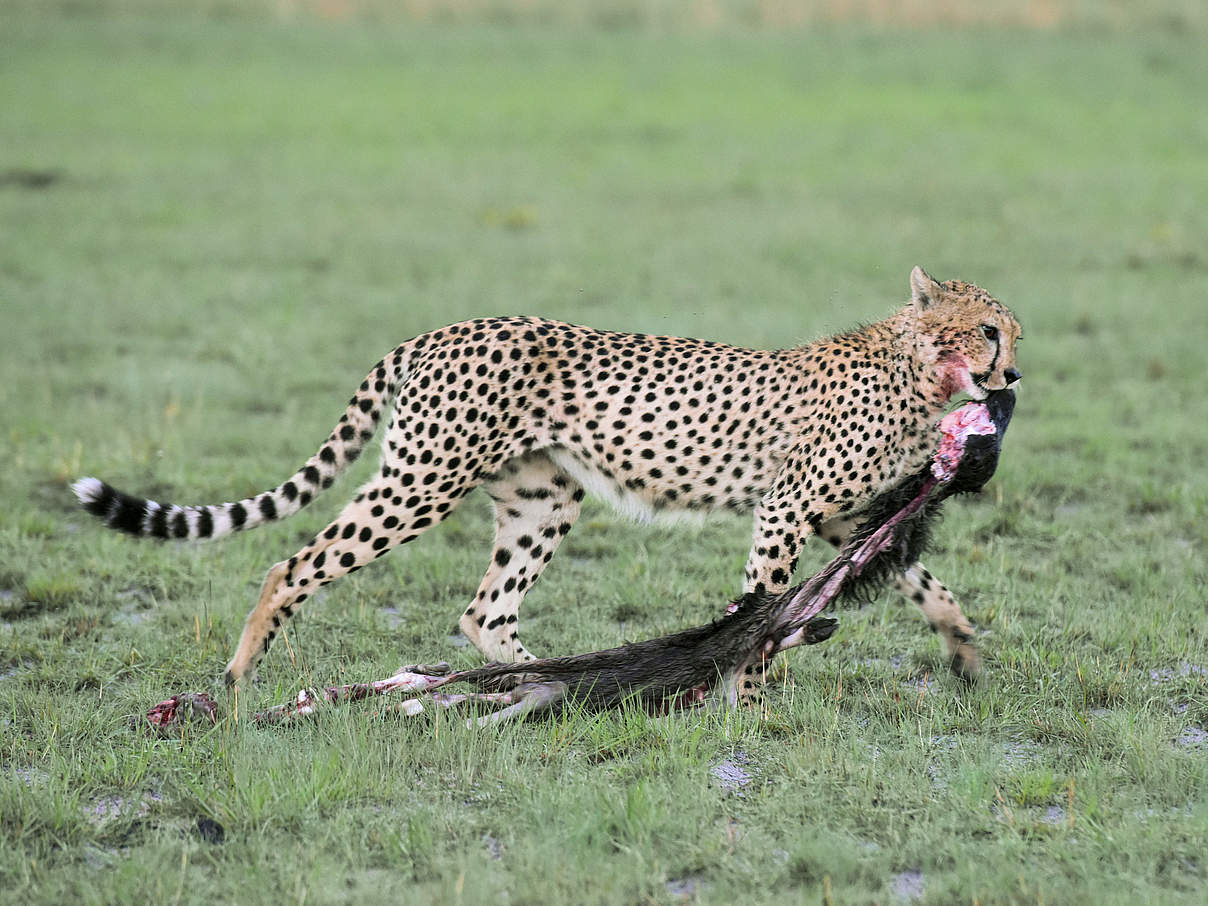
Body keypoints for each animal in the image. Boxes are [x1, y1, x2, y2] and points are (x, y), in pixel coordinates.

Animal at [73, 265, 1019, 690]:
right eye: (987, 329)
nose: (1012, 375)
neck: (916, 369)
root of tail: (434, 331)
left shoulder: (835, 516)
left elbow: (917, 573)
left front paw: (963, 648)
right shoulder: (788, 509)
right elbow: (762, 606)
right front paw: (748, 696)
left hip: (541, 496)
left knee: (484, 611)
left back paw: (548, 682)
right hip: (423, 481)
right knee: (293, 563)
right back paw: (239, 678)